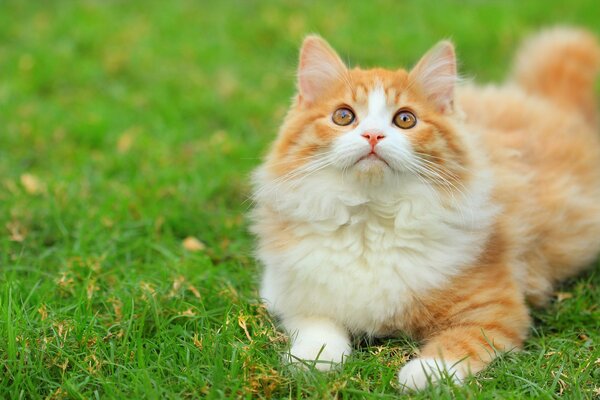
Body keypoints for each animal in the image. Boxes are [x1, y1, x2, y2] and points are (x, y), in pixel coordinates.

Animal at [250, 28, 600, 390]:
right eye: (343, 116)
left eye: (405, 119)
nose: (373, 135)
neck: (371, 220)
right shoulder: (288, 289)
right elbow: (317, 325)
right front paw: (312, 360)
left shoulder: (494, 310)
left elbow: (458, 345)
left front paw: (422, 373)